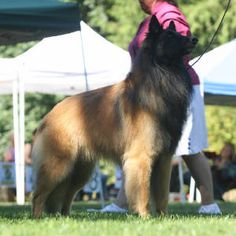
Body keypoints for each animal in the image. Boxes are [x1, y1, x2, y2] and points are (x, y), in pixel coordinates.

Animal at [31, 16, 197, 218]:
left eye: (179, 33)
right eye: (170, 35)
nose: (194, 39)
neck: (162, 76)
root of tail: (50, 114)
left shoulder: (164, 160)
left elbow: (162, 195)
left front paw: (164, 218)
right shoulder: (141, 157)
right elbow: (142, 191)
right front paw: (145, 216)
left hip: (79, 172)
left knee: (65, 196)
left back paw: (64, 218)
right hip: (59, 165)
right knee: (38, 195)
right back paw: (37, 218)